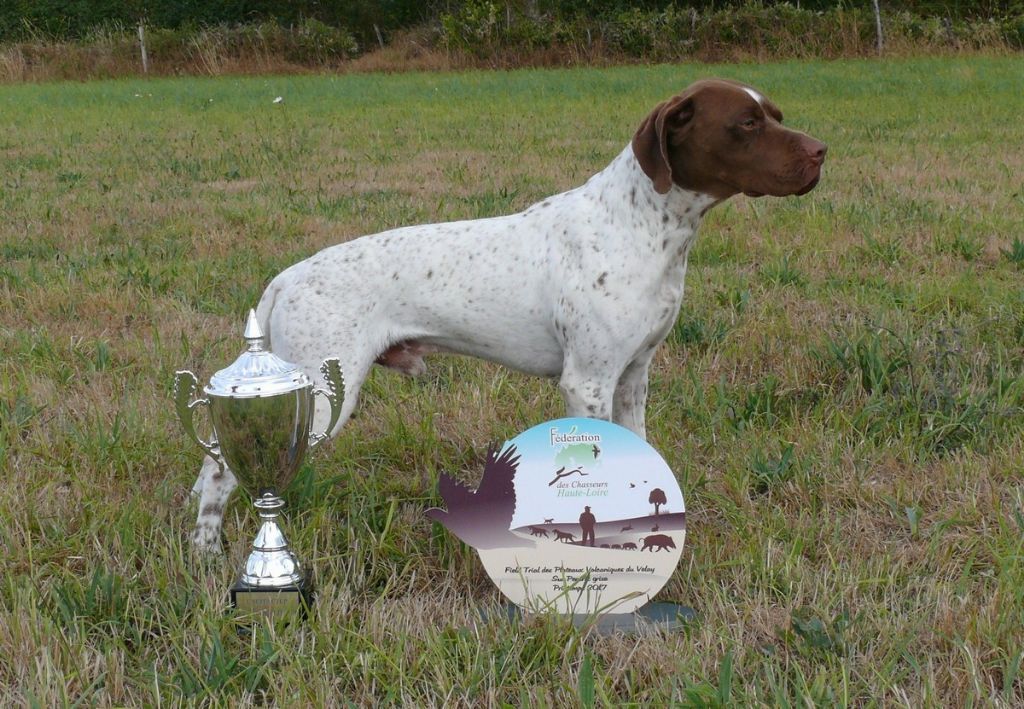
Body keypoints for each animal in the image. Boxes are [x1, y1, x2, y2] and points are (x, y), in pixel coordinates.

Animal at [190, 80, 823, 549]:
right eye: (747, 123)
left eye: (775, 114)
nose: (821, 153)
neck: (640, 225)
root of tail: (286, 278)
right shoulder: (587, 382)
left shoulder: (633, 376)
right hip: (322, 396)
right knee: (219, 473)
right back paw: (209, 557)